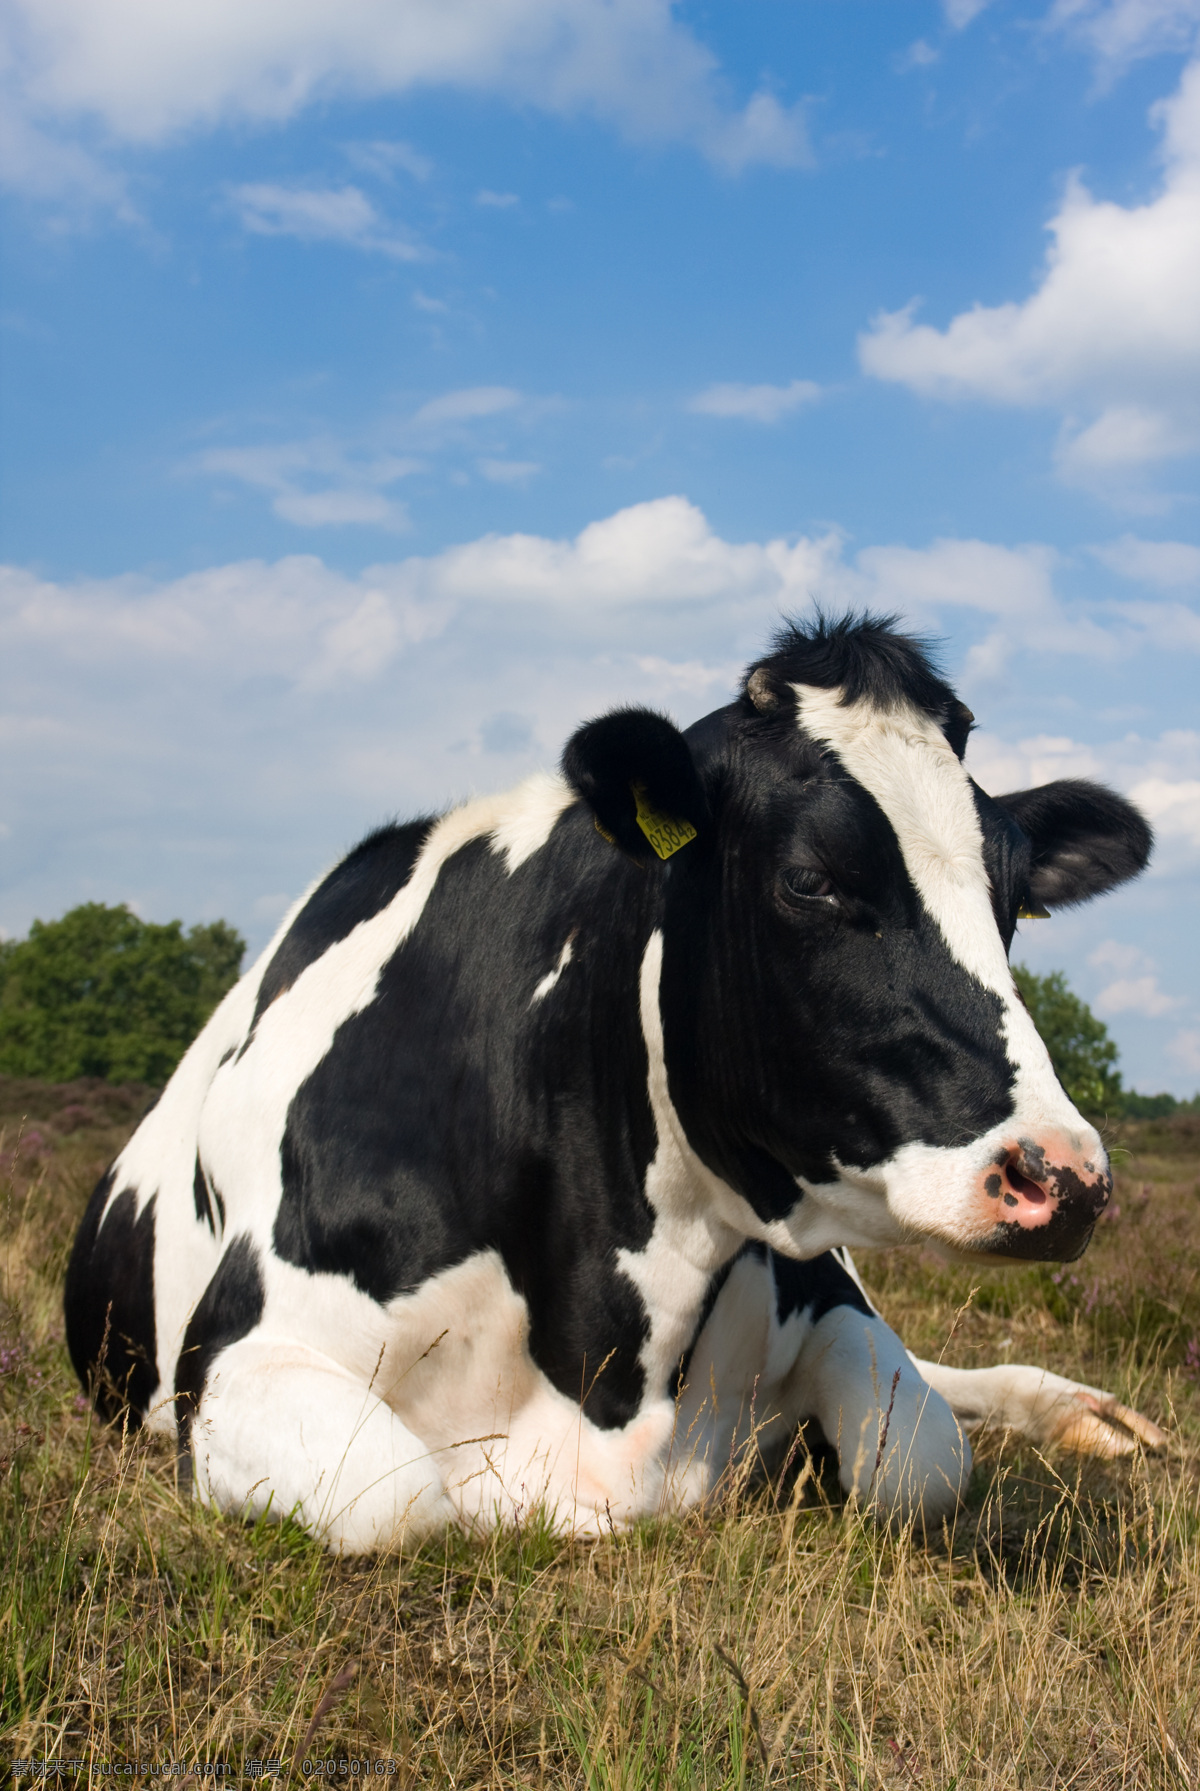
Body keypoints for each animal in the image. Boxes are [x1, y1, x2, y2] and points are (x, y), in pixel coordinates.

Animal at [63, 608, 1167, 1547]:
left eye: (1012, 898)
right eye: (810, 879)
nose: (1065, 1177)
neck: (612, 1368)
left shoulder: (827, 1302)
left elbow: (921, 1455)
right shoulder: (240, 1352)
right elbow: (394, 1494)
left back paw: (1092, 1414)